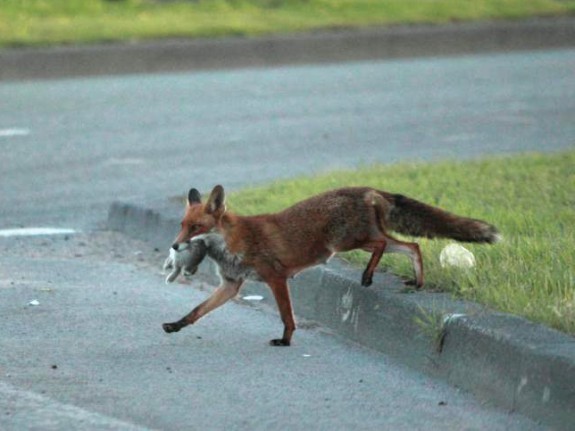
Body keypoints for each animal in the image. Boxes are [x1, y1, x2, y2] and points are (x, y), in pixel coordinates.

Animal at [163, 186, 500, 348]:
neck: (235, 242)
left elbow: (287, 316)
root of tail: (367, 188)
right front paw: (176, 325)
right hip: (357, 240)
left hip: (349, 241)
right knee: (412, 246)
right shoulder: (231, 285)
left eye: (196, 227)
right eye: (181, 225)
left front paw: (285, 340)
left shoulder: (276, 277)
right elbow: (196, 311)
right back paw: (416, 282)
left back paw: (368, 275)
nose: (175, 246)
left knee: (386, 245)